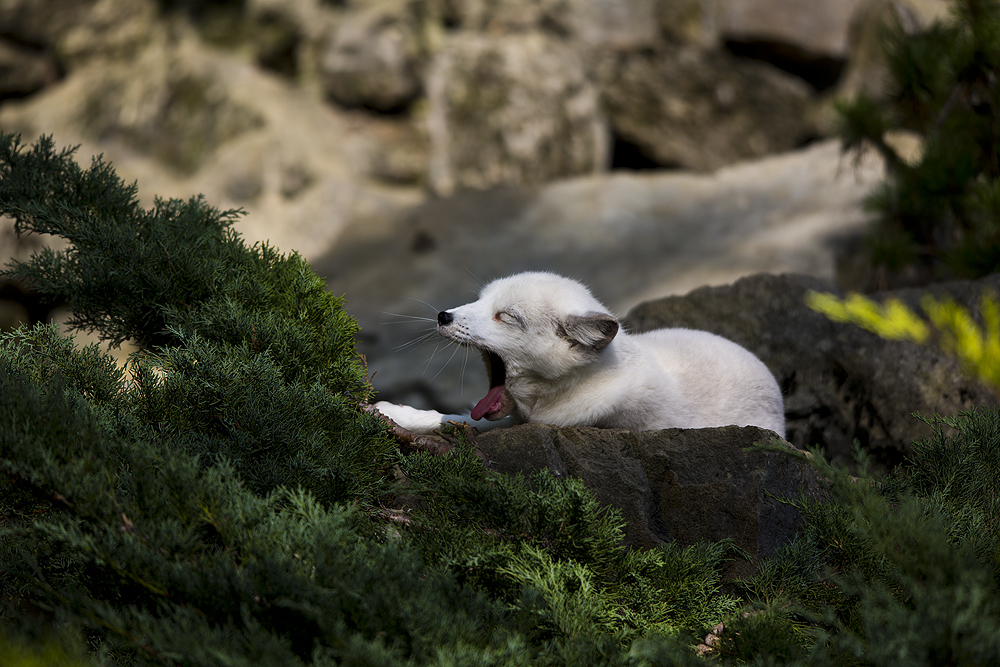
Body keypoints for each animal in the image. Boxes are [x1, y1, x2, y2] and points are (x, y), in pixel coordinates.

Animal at [372, 272, 784, 438]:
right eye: (479, 300)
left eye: (505, 316)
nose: (443, 316)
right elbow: (452, 418)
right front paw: (396, 411)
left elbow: (466, 423)